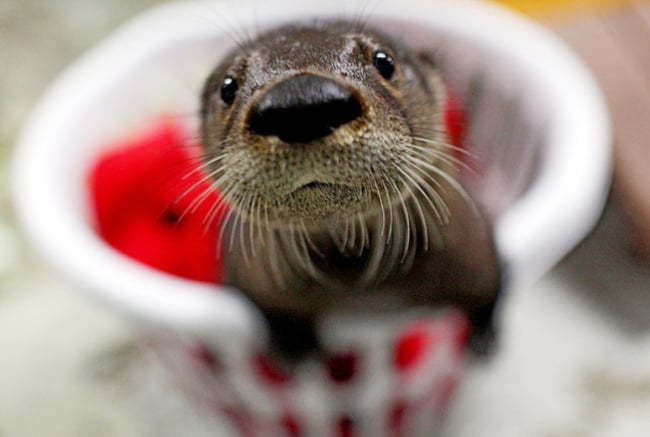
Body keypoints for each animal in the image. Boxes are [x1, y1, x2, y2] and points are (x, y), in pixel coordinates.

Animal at [197, 20, 502, 360]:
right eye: (227, 87)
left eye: (384, 61)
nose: (303, 101)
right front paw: (293, 343)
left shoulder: (475, 247)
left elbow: (488, 287)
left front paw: (483, 334)